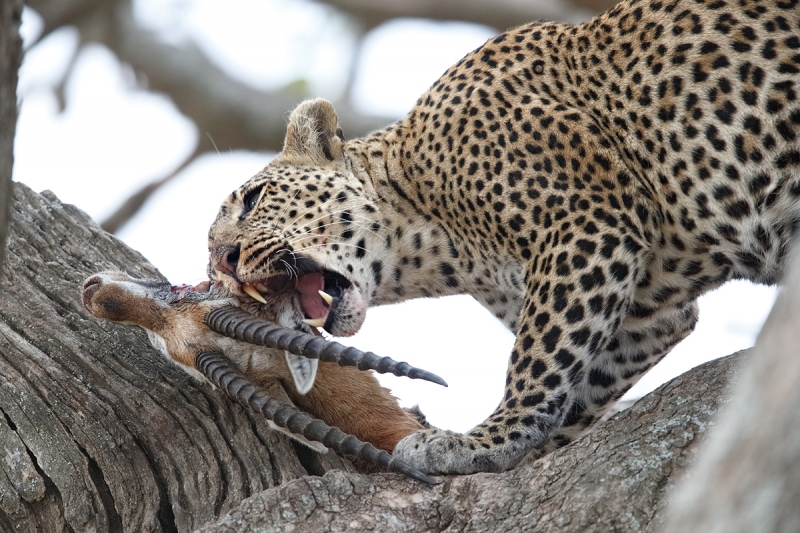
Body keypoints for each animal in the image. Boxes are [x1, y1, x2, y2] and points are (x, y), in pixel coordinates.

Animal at [208, 0, 800, 474]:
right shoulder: (646, 314)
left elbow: (538, 362)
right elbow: (580, 383)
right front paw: (512, 449)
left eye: (253, 199)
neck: (434, 243)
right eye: (212, 258)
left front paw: (481, 440)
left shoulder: (587, 222)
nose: (224, 262)